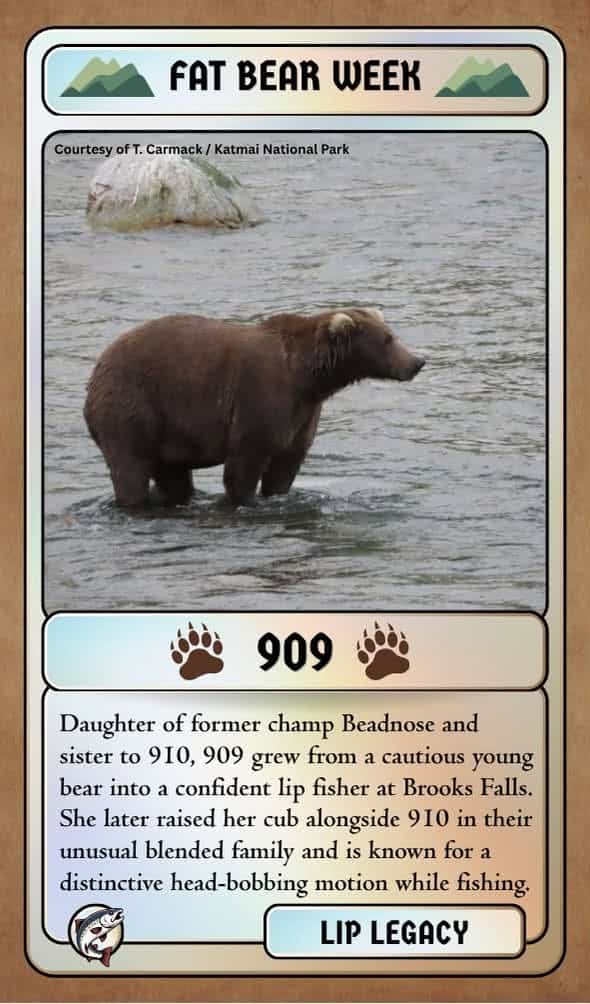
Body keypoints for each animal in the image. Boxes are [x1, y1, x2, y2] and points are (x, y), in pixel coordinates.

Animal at [83, 307, 425, 508]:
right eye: (387, 339)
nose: (417, 361)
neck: (306, 377)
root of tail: (97, 368)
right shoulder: (260, 397)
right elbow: (246, 461)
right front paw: (244, 499)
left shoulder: (302, 414)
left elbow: (286, 464)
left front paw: (277, 493)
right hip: (133, 407)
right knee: (130, 468)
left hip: (167, 432)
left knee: (173, 475)